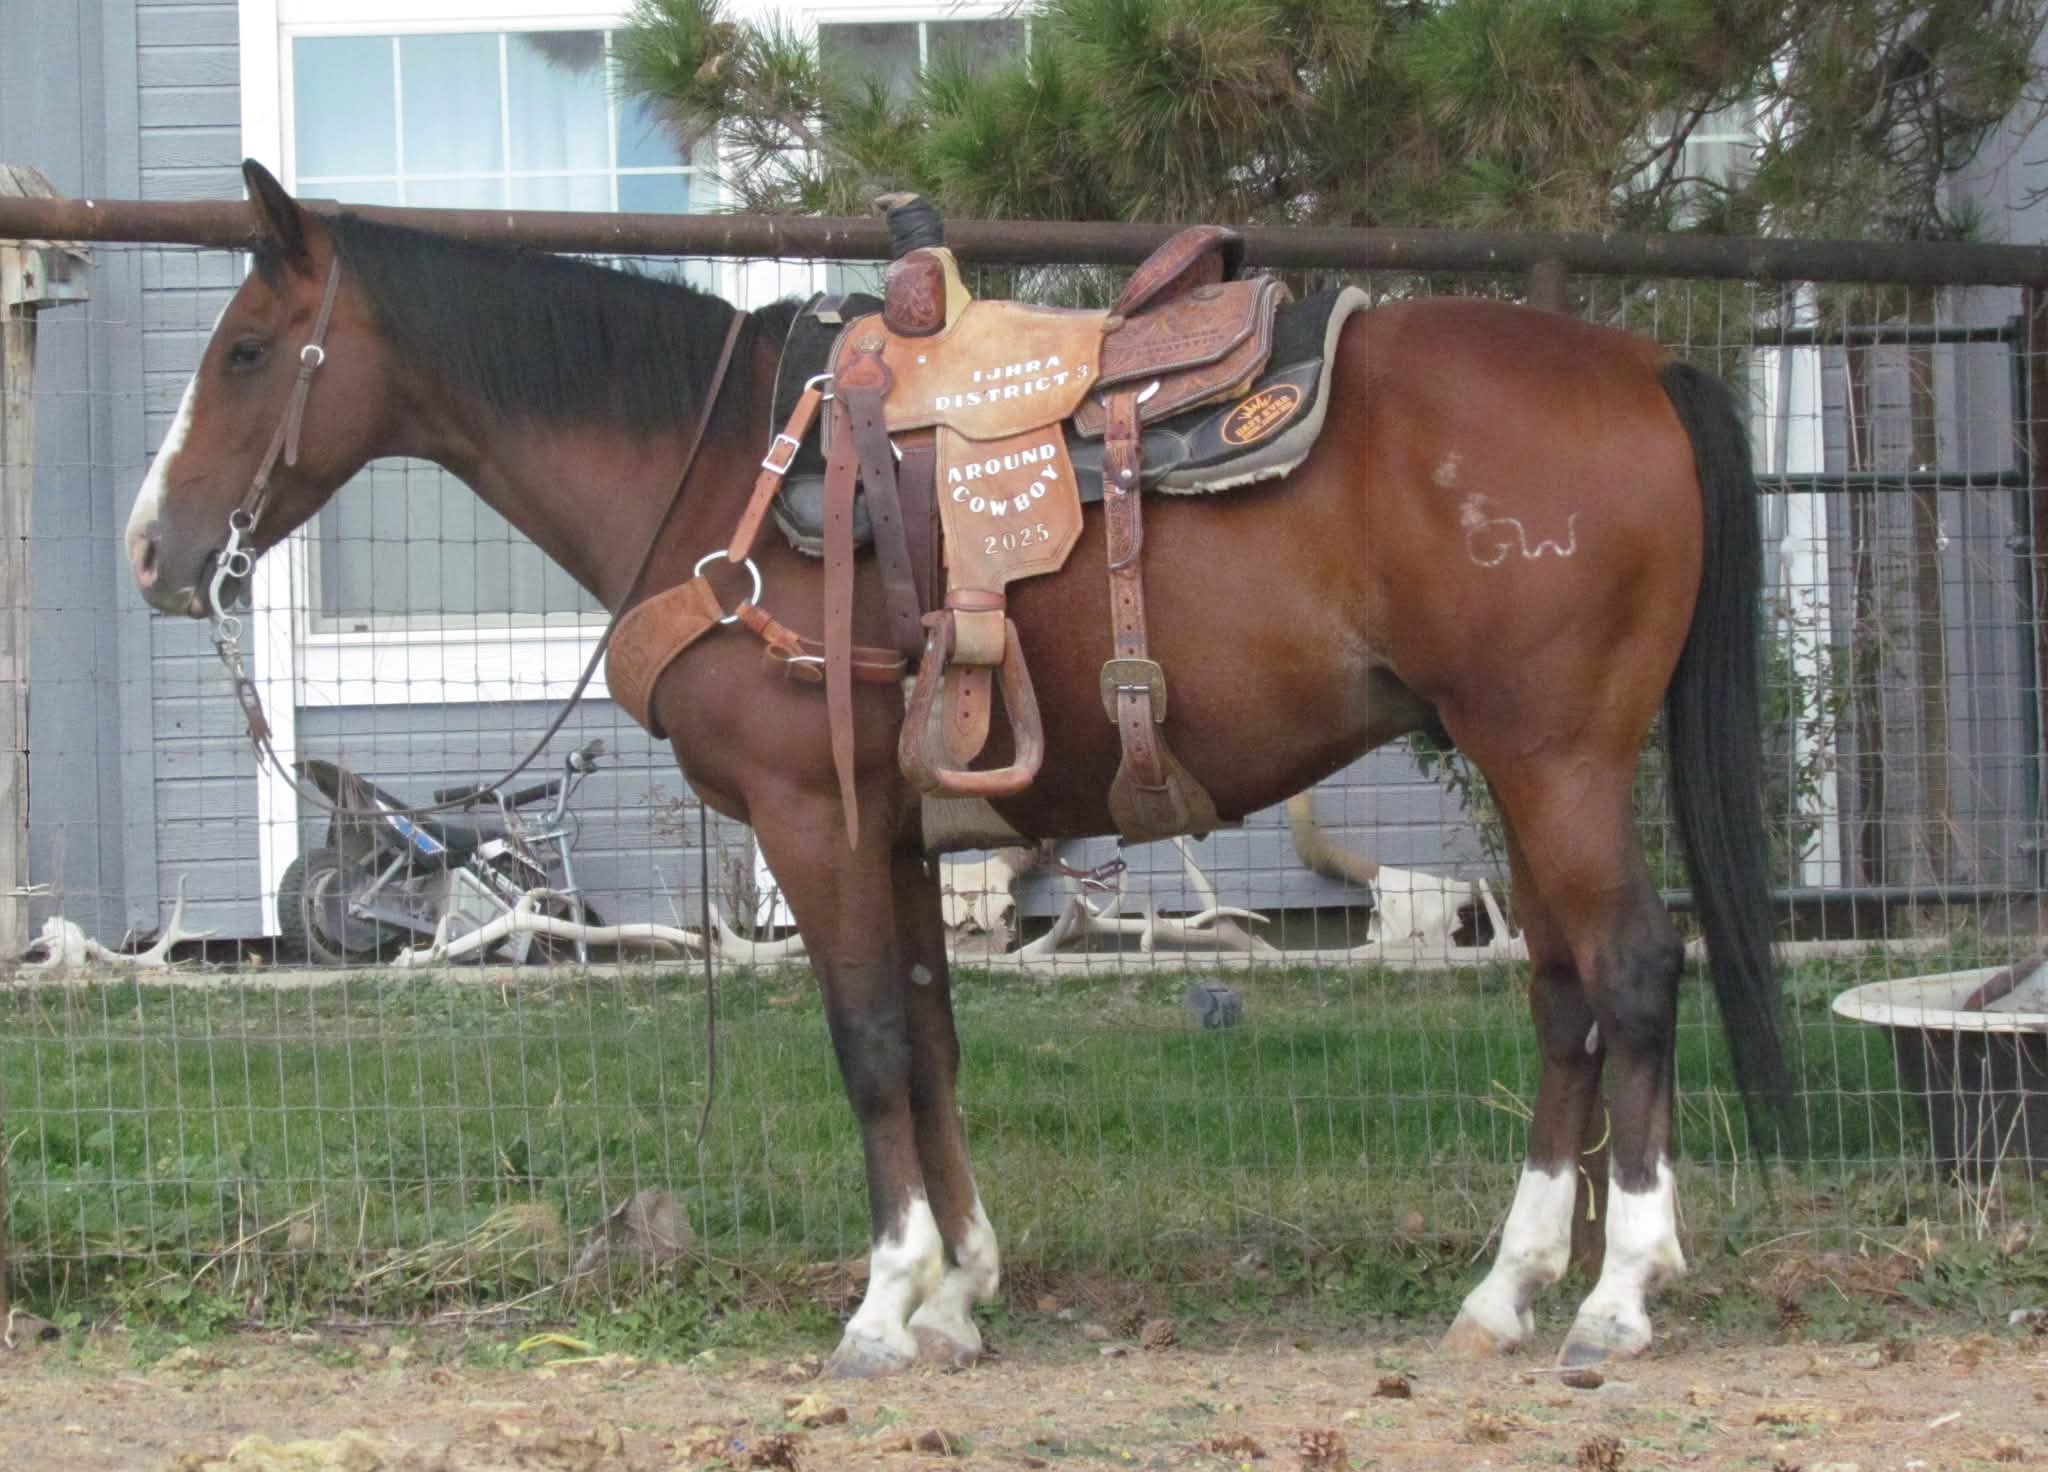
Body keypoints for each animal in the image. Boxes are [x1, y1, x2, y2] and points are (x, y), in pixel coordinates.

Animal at [126, 160, 1787, 1376]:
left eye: (250, 351)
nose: (151, 551)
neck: (722, 469)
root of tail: (1647, 363)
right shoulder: (903, 831)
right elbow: (929, 1037)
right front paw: (958, 1292)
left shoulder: (813, 819)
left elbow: (867, 1041)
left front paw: (883, 1304)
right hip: (1520, 765)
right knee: (1563, 991)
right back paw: (1506, 1289)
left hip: (1555, 754)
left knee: (1633, 970)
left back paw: (1617, 1296)